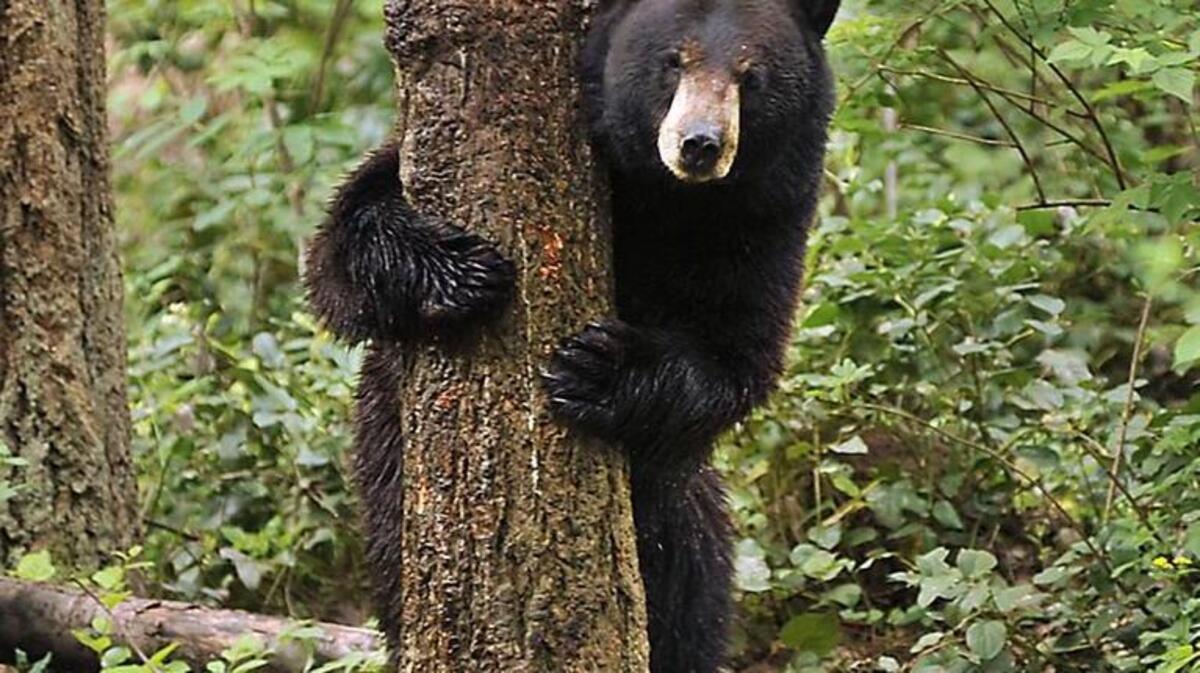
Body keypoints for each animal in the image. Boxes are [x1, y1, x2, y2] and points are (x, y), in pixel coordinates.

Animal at [304, 0, 840, 671]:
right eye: (673, 61)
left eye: (751, 76)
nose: (699, 145)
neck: (662, 201)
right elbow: (342, 247)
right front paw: (457, 269)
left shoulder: (761, 226)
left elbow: (737, 357)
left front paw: (600, 370)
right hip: (387, 466)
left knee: (691, 586)